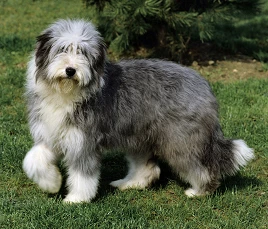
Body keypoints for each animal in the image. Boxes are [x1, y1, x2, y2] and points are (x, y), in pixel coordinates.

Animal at [22, 19, 253, 202]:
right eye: (62, 49)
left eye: (83, 53)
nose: (70, 70)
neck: (64, 93)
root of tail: (203, 84)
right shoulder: (51, 132)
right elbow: (33, 159)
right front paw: (52, 183)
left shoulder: (83, 140)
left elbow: (82, 175)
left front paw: (76, 199)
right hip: (139, 135)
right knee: (148, 168)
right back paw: (128, 183)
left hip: (180, 139)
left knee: (201, 167)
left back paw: (199, 191)